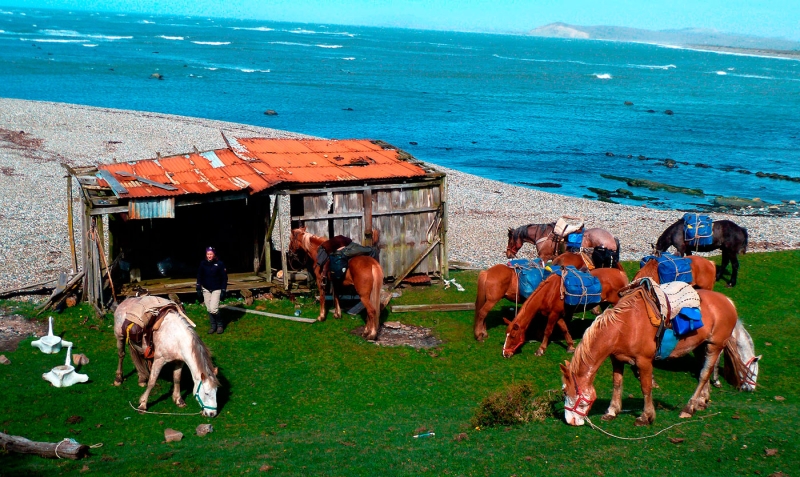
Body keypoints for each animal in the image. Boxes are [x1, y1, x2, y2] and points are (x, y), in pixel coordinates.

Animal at [500, 266, 632, 356]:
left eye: (513, 336)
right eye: (506, 335)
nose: (505, 354)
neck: (549, 292)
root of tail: (621, 273)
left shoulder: (553, 315)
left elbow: (547, 331)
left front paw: (541, 349)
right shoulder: (557, 315)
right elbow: (564, 329)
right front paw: (570, 346)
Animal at [560, 288, 740, 426]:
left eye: (569, 393)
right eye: (564, 392)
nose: (570, 421)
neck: (624, 326)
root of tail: (728, 301)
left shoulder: (644, 361)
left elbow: (646, 388)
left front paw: (646, 416)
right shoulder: (617, 359)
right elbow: (617, 384)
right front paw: (612, 411)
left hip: (714, 346)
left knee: (704, 374)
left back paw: (689, 408)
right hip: (700, 346)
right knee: (705, 370)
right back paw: (701, 401)